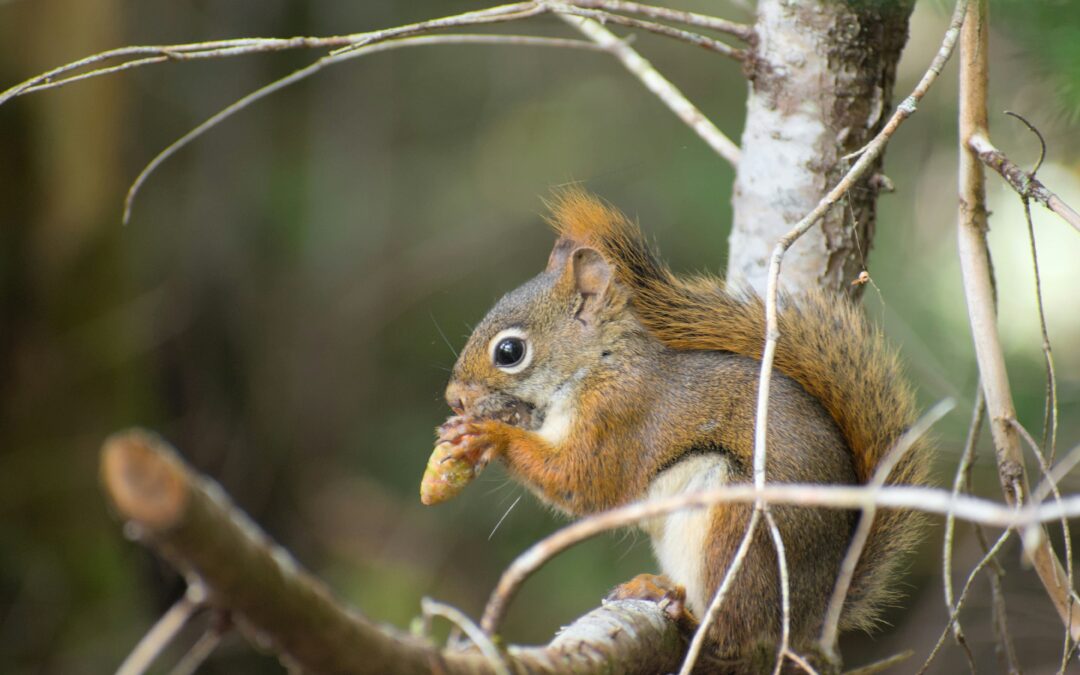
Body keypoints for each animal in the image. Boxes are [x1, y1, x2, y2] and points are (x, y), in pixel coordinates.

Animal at [434, 189, 929, 668]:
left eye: (510, 351)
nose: (453, 398)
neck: (599, 365)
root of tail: (813, 609)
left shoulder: (620, 415)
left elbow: (582, 480)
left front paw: (488, 435)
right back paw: (658, 588)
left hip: (738, 531)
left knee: (732, 635)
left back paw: (690, 618)